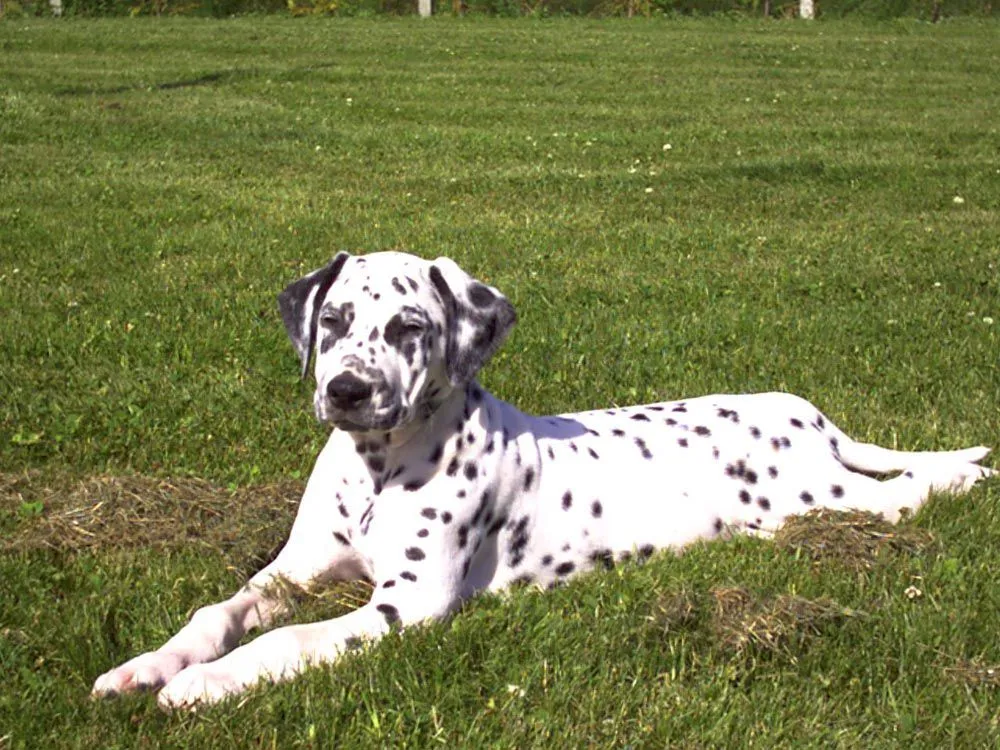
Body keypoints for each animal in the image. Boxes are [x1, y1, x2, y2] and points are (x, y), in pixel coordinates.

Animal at [92, 251, 992, 712]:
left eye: (409, 326)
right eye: (336, 320)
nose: (345, 391)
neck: (378, 468)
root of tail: (809, 416)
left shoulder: (406, 604)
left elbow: (291, 639)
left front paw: (208, 681)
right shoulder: (293, 572)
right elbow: (220, 611)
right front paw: (153, 664)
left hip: (824, 501)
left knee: (905, 490)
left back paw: (960, 483)